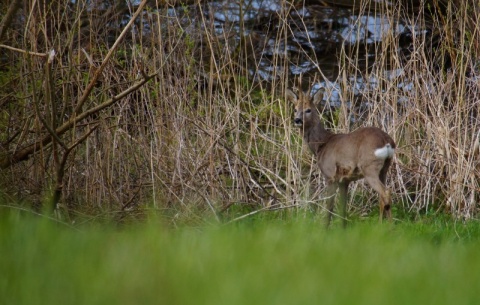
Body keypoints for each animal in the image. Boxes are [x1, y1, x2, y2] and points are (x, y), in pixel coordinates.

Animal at [286, 88, 396, 226]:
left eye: (308, 110)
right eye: (295, 109)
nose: (297, 120)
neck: (322, 145)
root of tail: (387, 141)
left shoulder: (330, 175)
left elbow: (329, 206)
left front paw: (325, 227)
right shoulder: (344, 180)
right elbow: (343, 207)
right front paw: (343, 227)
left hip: (369, 167)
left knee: (385, 193)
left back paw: (386, 226)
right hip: (385, 168)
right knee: (383, 196)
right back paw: (385, 226)